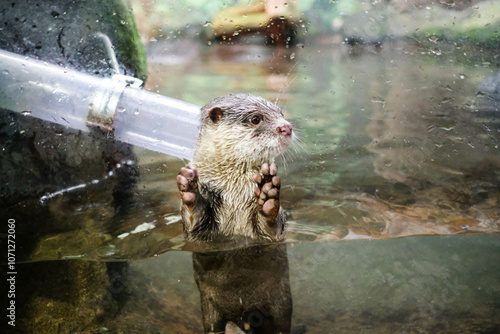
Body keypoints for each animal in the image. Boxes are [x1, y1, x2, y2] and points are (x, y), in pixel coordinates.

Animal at [176, 92, 292, 241]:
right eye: (255, 119)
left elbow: (272, 229)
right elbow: (194, 225)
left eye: (281, 114)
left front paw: (268, 196)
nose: (287, 127)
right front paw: (189, 189)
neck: (235, 193)